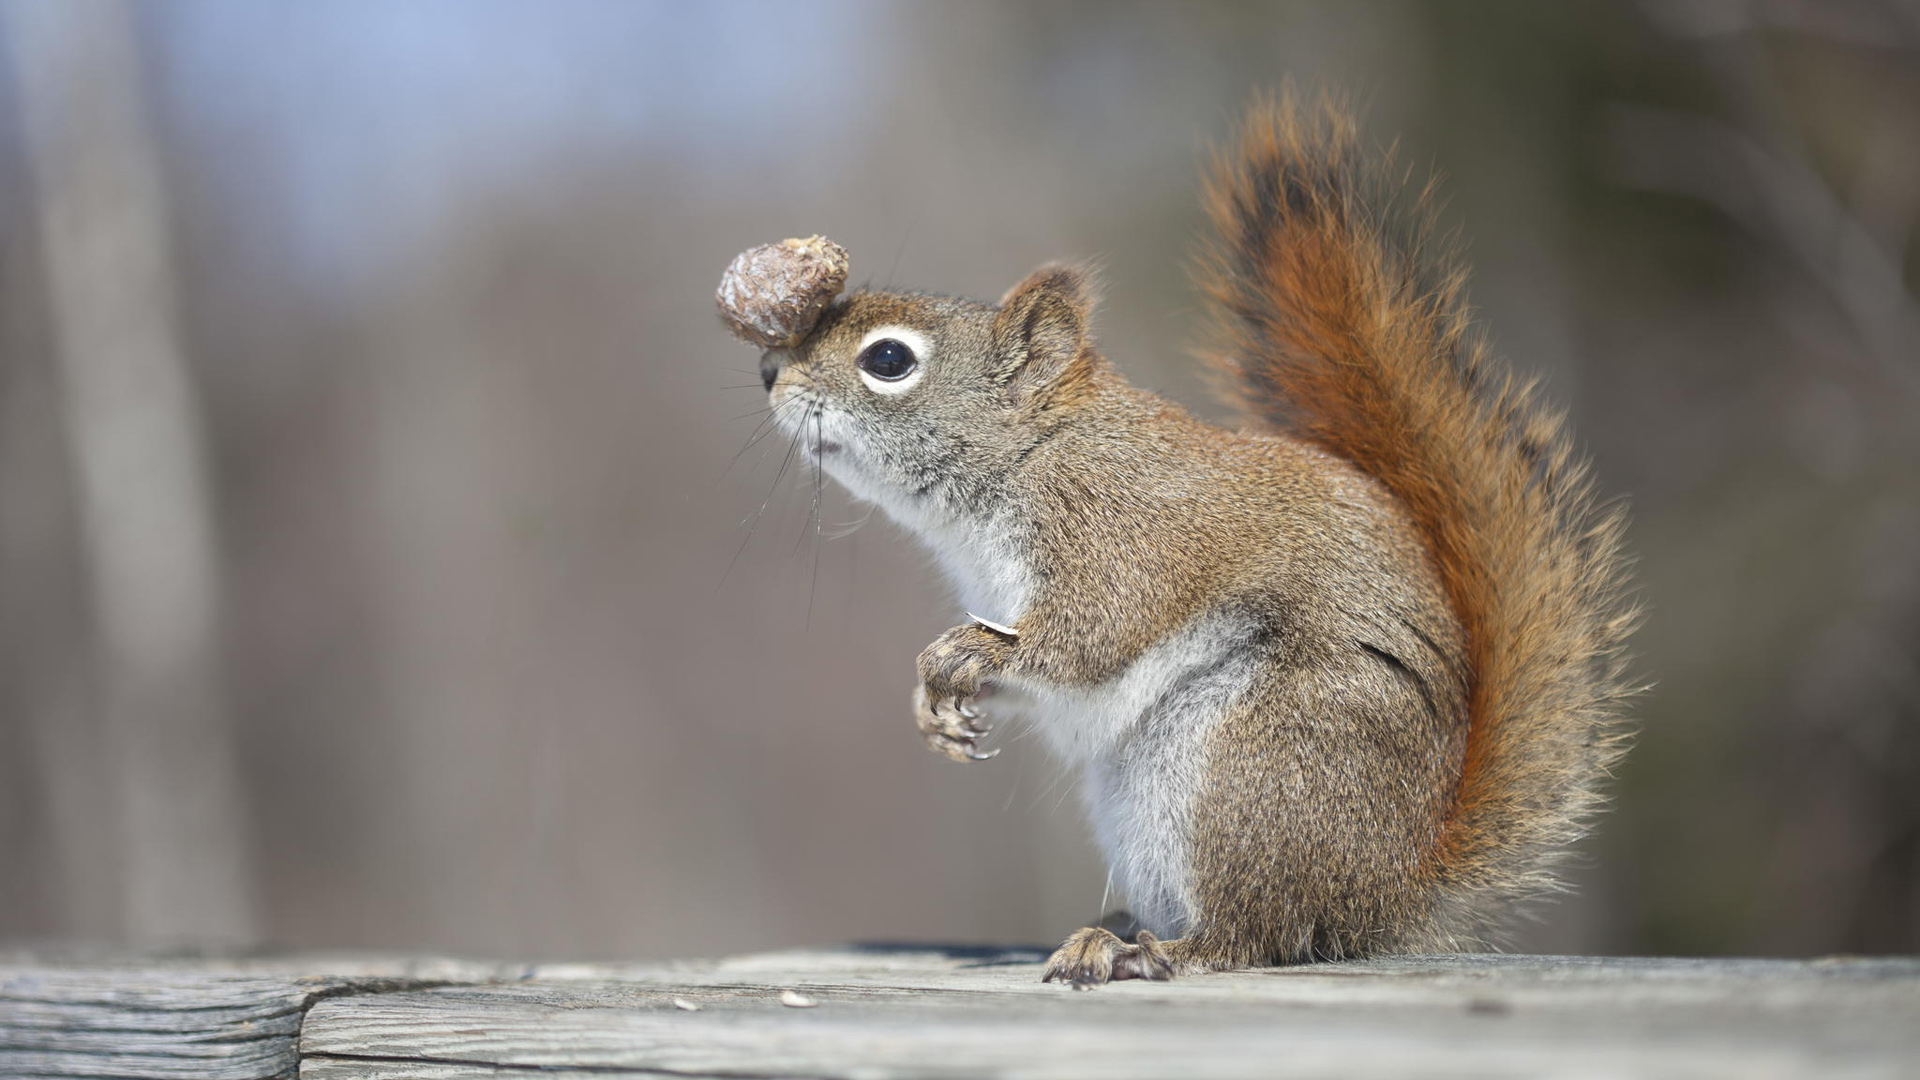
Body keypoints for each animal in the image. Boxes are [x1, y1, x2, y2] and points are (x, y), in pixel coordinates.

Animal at [718, 92, 1635, 983]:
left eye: (889, 361)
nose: (769, 375)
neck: (1029, 456)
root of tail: (1386, 891)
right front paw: (934, 706)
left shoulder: (1130, 536)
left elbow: (1090, 634)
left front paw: (961, 656)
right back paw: (1119, 928)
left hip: (1251, 767)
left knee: (1255, 936)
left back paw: (1155, 950)